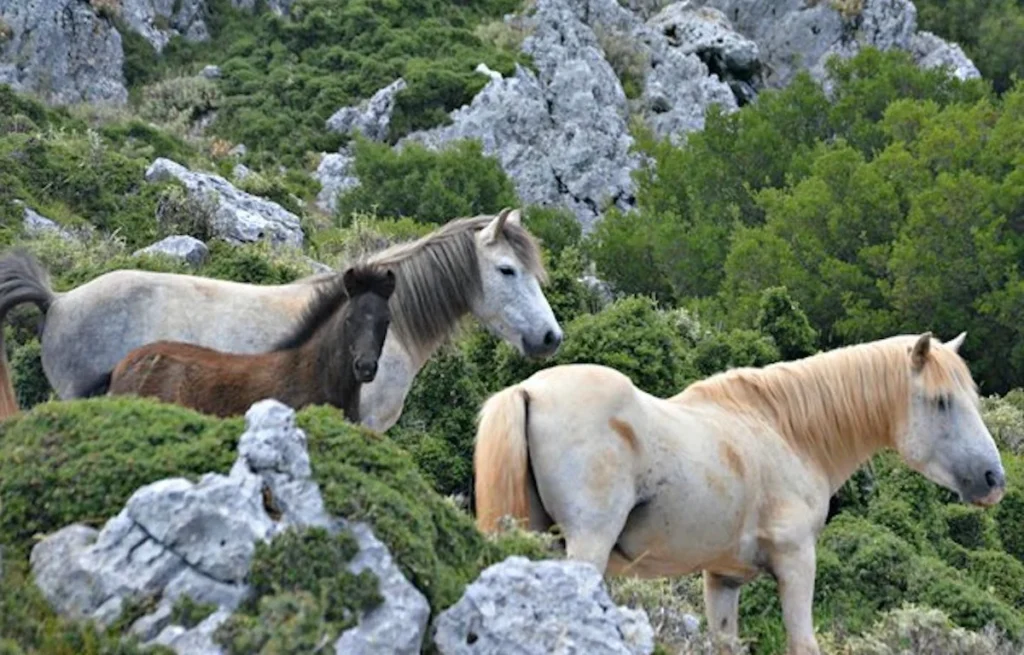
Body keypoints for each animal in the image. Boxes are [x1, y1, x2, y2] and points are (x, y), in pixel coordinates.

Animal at [473, 332, 1006, 655]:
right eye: (941, 401)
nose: (993, 479)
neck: (788, 433)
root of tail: (528, 390)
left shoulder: (723, 579)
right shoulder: (796, 562)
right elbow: (802, 642)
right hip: (587, 547)